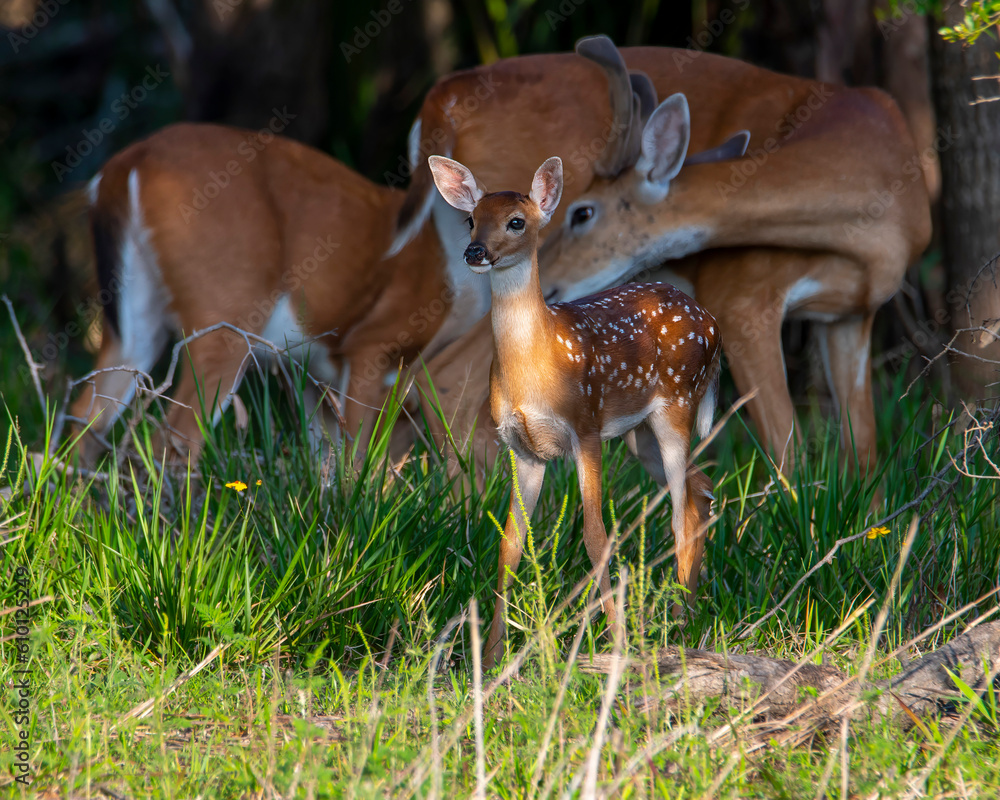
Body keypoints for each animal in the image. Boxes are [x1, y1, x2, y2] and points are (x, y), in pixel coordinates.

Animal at [70, 122, 446, 466]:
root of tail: (129, 161)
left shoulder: (309, 372)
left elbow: (324, 452)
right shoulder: (370, 348)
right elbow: (355, 448)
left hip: (134, 319)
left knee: (88, 414)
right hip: (226, 314)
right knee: (175, 434)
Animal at [402, 36, 932, 476]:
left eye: (581, 212)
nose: (544, 266)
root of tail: (440, 100)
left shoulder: (852, 315)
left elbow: (864, 454)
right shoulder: (741, 293)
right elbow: (788, 449)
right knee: (445, 374)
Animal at [426, 153, 724, 664]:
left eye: (517, 221)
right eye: (470, 220)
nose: (475, 252)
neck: (534, 368)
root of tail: (711, 323)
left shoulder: (585, 428)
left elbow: (596, 536)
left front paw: (616, 643)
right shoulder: (522, 448)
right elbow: (511, 543)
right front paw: (491, 657)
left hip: (677, 406)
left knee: (679, 510)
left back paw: (681, 625)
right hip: (639, 433)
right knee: (699, 491)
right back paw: (687, 612)